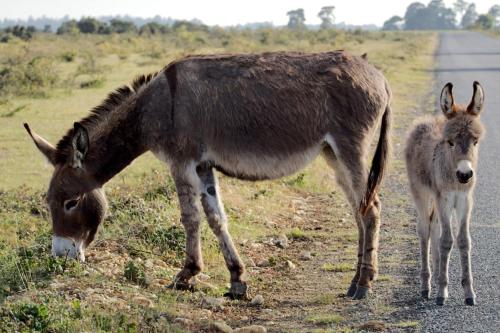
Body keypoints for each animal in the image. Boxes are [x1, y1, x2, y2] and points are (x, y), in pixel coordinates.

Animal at [406, 81, 484, 304]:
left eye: (475, 141)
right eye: (450, 142)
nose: (465, 174)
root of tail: (423, 121)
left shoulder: (465, 200)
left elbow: (463, 241)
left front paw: (469, 293)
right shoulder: (445, 199)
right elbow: (447, 240)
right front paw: (441, 292)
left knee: (434, 226)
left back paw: (436, 277)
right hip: (421, 193)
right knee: (424, 229)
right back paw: (426, 286)